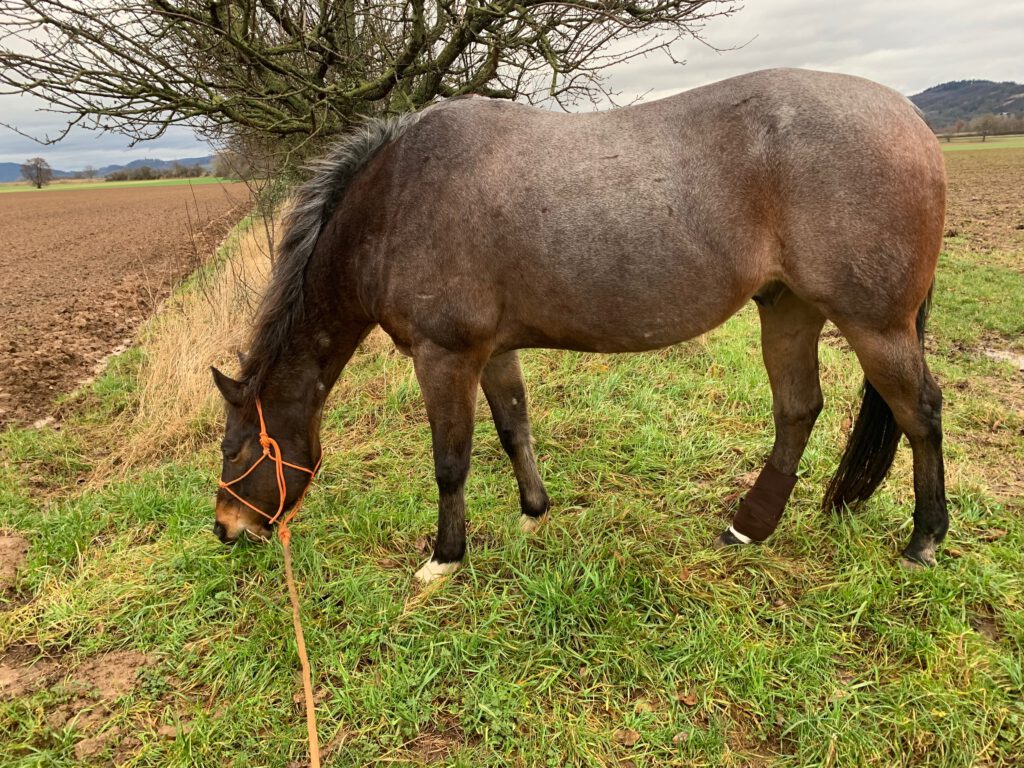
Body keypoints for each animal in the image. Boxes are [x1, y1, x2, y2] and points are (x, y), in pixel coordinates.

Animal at [211, 69, 946, 581]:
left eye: (238, 452)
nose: (225, 528)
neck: (396, 202)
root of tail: (912, 119)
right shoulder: (490, 351)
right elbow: (514, 427)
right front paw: (533, 515)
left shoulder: (444, 355)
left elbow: (450, 461)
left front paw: (443, 559)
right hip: (788, 306)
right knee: (798, 409)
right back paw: (748, 528)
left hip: (875, 325)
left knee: (921, 412)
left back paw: (924, 540)